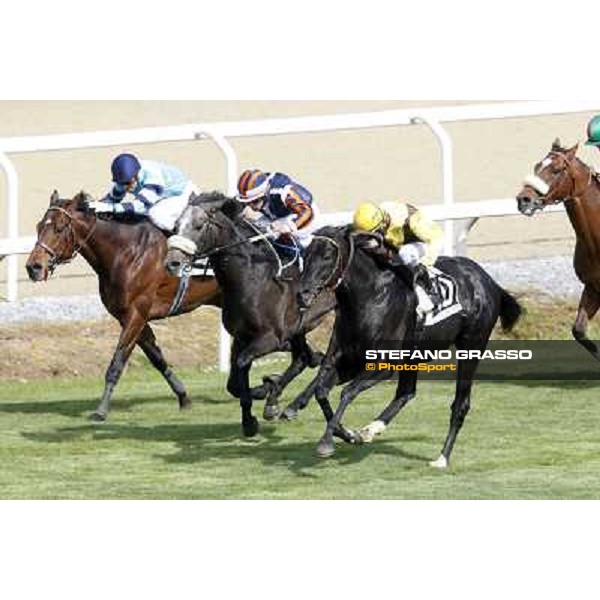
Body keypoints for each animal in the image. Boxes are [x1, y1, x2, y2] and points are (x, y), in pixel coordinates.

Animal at [25, 190, 221, 420]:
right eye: (39, 226)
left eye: (59, 227)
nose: (33, 267)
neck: (126, 251)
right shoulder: (131, 317)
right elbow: (157, 358)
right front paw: (184, 397)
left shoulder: (136, 313)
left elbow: (116, 362)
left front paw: (101, 411)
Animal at [164, 192, 338, 436]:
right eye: (176, 225)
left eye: (198, 225)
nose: (173, 262)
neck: (253, 278)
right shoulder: (241, 337)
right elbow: (234, 384)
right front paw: (258, 405)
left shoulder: (272, 338)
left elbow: (243, 363)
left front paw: (260, 399)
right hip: (299, 328)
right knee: (302, 359)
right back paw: (286, 404)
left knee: (323, 361)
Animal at [298, 227, 524, 466]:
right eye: (306, 254)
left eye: (327, 255)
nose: (302, 294)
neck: (370, 297)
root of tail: (490, 282)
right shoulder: (345, 362)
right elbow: (321, 392)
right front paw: (346, 434)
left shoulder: (383, 366)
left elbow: (347, 392)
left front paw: (326, 443)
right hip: (413, 357)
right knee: (406, 392)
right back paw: (371, 429)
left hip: (472, 347)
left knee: (460, 403)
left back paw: (442, 458)